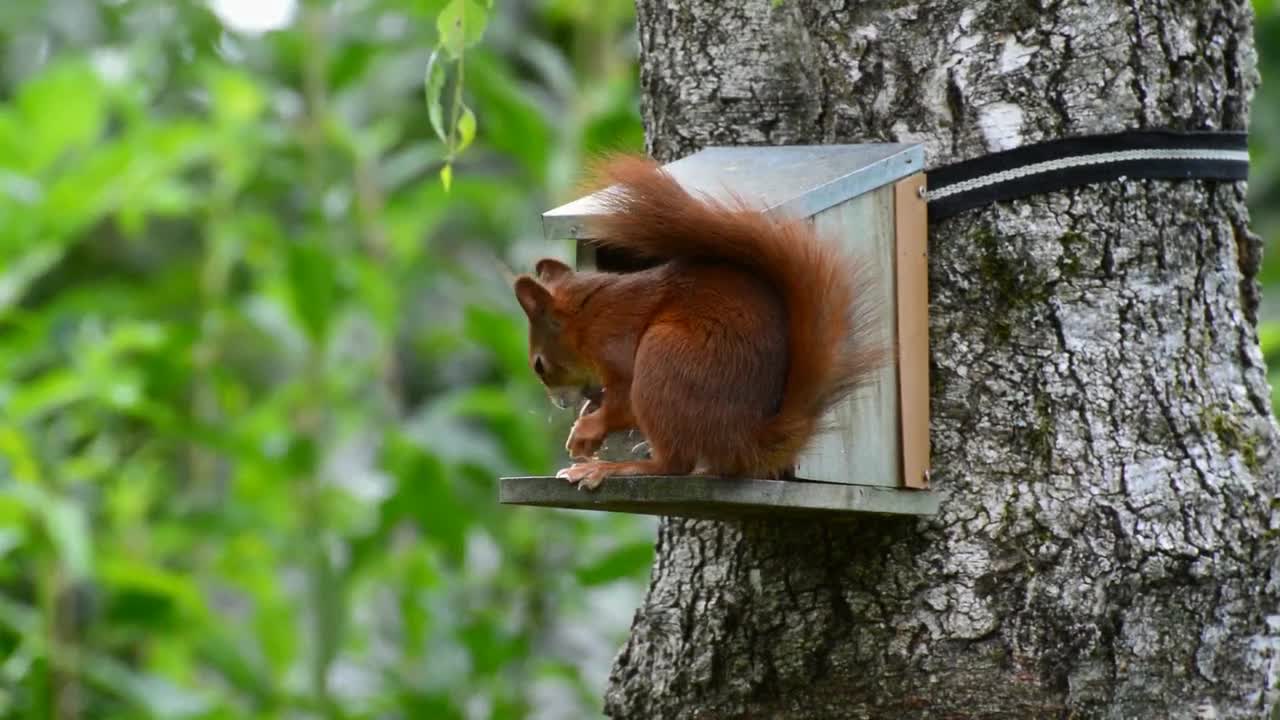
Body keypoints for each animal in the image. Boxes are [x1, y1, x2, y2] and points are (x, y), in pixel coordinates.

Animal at [506, 155, 880, 486]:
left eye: (539, 365)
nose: (559, 403)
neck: (589, 317)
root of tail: (745, 442)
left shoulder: (616, 346)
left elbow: (622, 403)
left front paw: (586, 431)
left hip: (663, 359)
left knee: (673, 464)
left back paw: (616, 467)